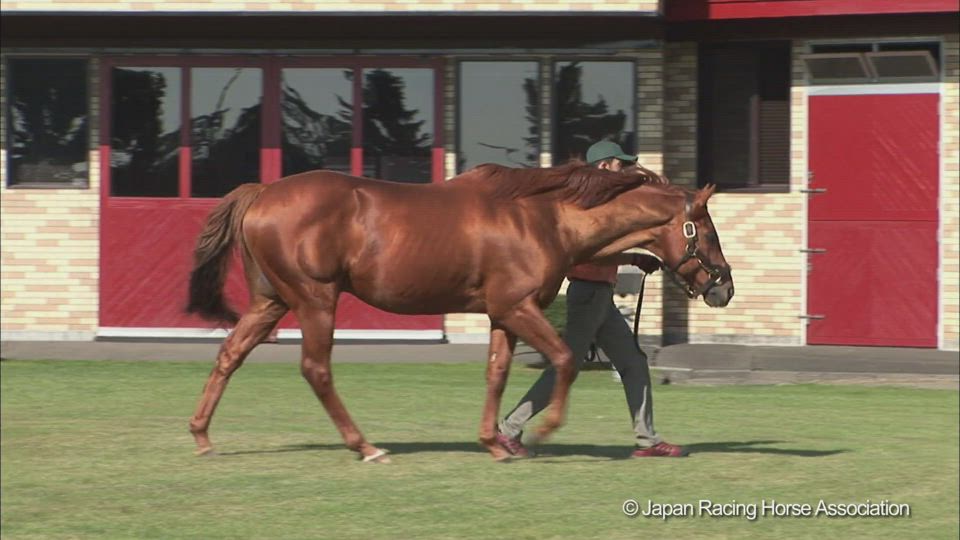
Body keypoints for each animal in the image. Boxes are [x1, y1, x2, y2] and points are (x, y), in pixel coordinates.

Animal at [185, 161, 734, 462]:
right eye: (707, 230)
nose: (724, 288)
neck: (543, 217)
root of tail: (262, 194)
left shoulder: (501, 313)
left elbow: (497, 373)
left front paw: (495, 442)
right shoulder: (518, 306)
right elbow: (564, 359)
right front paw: (542, 432)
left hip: (272, 300)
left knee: (230, 354)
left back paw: (202, 436)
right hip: (315, 298)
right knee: (316, 369)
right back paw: (366, 446)